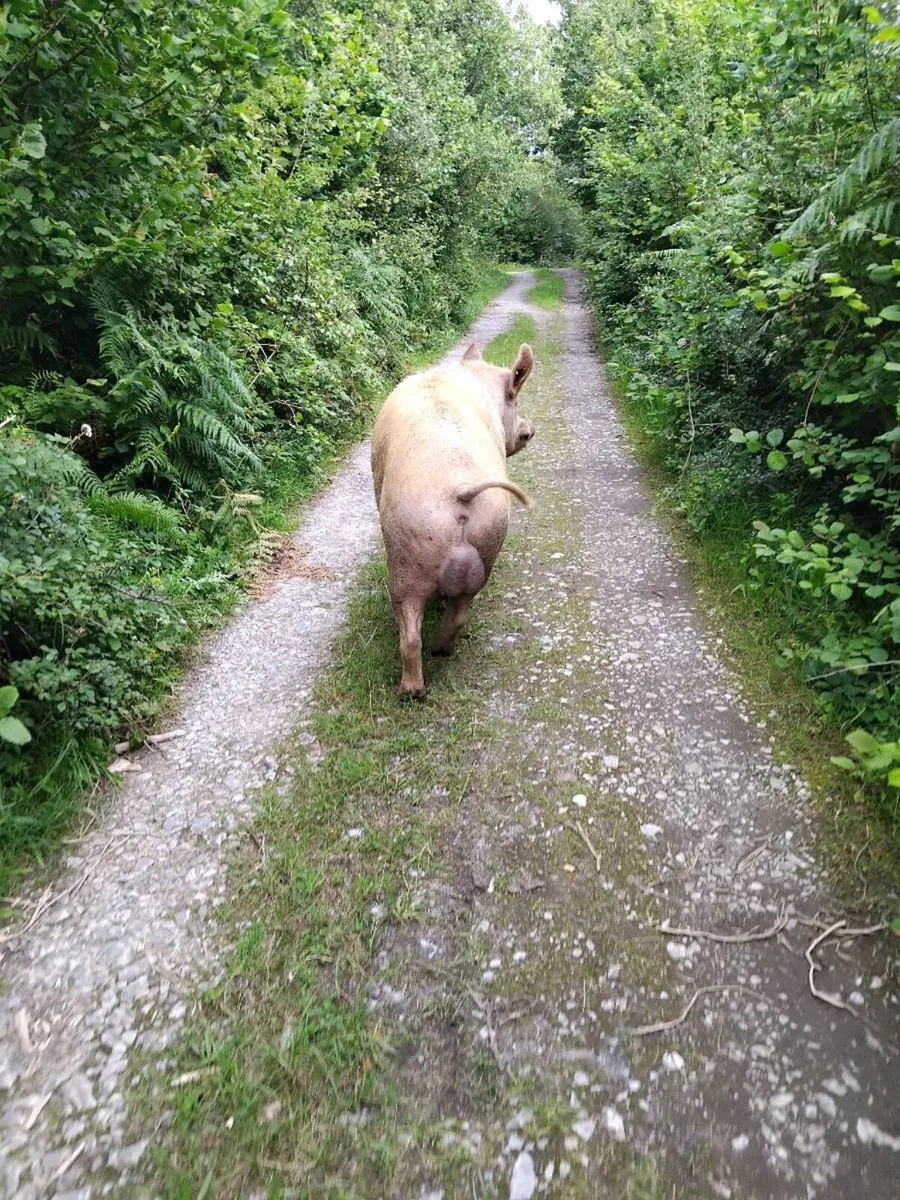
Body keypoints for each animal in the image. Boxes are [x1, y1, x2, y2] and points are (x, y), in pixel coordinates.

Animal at [371, 340, 535, 699]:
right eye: (515, 400)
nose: (531, 430)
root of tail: (459, 488)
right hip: (488, 539)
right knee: (458, 614)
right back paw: (441, 651)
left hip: (403, 553)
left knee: (409, 633)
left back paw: (411, 690)